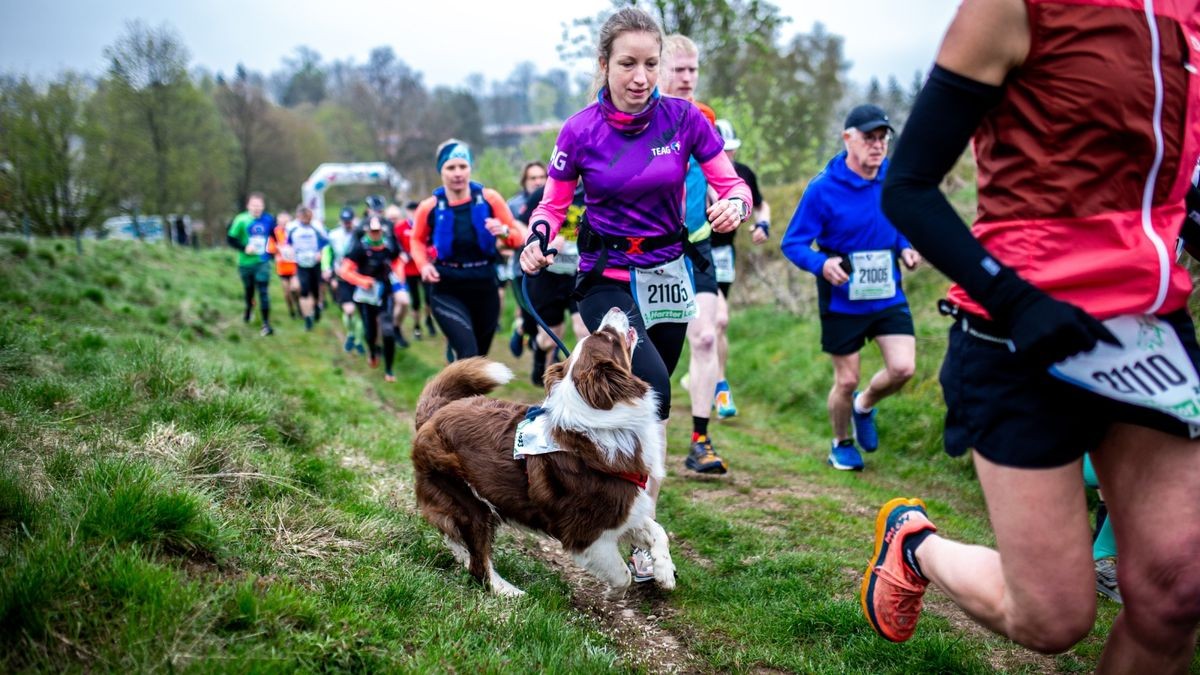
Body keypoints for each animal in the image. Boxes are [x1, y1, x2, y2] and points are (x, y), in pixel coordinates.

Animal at [410, 306, 676, 593]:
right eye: (607, 337)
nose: (615, 308)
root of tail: (436, 412)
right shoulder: (586, 533)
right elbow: (621, 575)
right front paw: (613, 592)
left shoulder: (625, 507)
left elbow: (657, 531)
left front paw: (664, 573)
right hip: (468, 500)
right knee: (479, 564)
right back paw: (507, 591)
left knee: (455, 537)